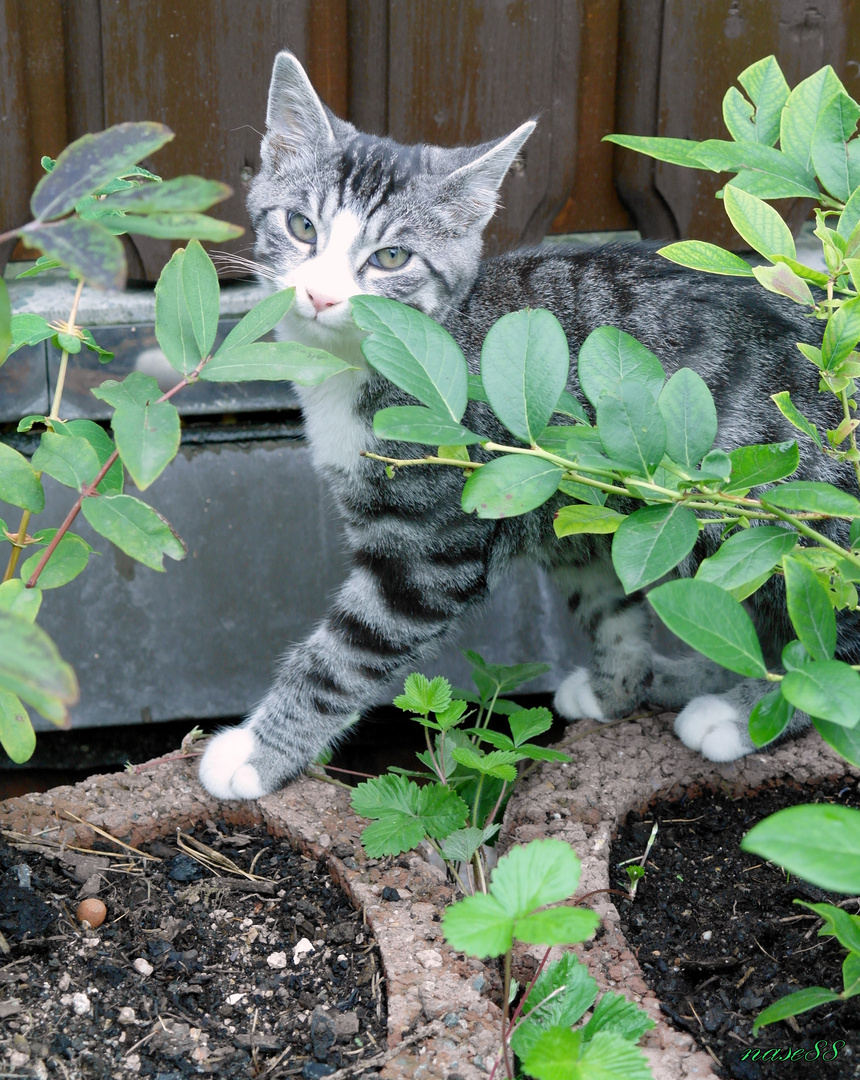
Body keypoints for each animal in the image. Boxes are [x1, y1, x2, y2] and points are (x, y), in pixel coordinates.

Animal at [196, 50, 851, 803]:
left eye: (390, 259)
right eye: (302, 227)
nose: (321, 294)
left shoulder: (433, 546)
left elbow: (350, 651)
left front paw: (256, 752)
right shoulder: (561, 502)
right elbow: (606, 599)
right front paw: (620, 685)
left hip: (761, 515)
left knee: (825, 640)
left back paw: (748, 714)